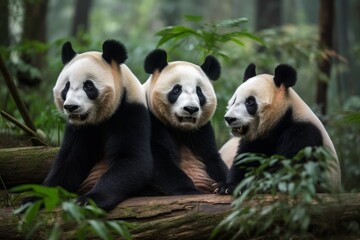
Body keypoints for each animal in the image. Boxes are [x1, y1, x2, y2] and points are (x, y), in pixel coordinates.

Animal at [41, 39, 152, 210]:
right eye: (66, 86)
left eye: (88, 86)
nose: (71, 107)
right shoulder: (80, 128)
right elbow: (70, 162)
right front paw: (36, 198)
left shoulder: (130, 111)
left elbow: (133, 161)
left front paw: (87, 199)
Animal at [142, 49, 226, 194]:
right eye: (176, 90)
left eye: (199, 92)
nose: (190, 109)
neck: (180, 128)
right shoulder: (151, 119)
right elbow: (159, 159)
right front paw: (188, 189)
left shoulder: (202, 130)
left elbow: (212, 157)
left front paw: (225, 186)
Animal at [217, 63, 340, 193]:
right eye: (234, 100)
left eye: (250, 102)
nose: (229, 118)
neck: (283, 118)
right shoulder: (257, 138)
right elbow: (246, 159)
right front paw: (228, 186)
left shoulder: (304, 133)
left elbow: (286, 169)